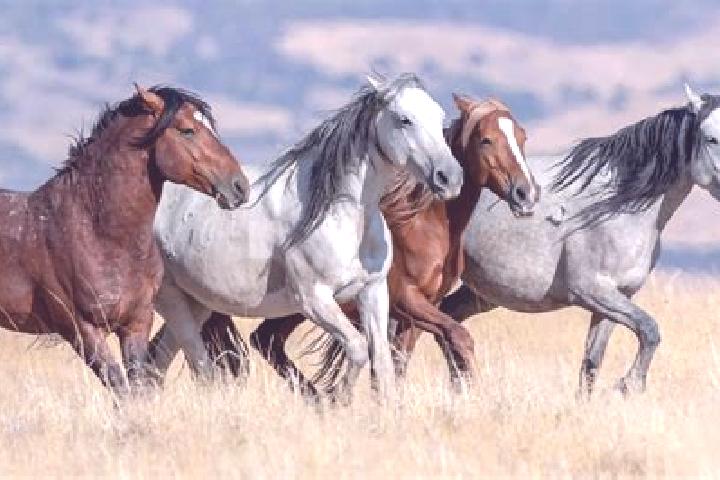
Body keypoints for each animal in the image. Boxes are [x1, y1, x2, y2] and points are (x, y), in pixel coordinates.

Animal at [0, 85, 248, 396]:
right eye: (187, 130)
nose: (240, 186)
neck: (98, 234)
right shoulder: (82, 330)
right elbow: (121, 388)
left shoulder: (136, 323)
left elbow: (137, 386)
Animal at [146, 73, 463, 400]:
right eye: (404, 119)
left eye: (440, 118)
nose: (449, 178)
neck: (342, 216)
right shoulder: (314, 299)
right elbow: (358, 348)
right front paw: (337, 400)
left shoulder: (373, 292)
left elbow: (383, 364)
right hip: (171, 299)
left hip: (198, 303)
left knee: (159, 359)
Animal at [228, 94, 539, 395]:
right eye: (485, 139)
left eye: (522, 137)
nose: (525, 194)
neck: (423, 225)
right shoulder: (407, 299)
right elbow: (457, 337)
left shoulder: (419, 310)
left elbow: (399, 363)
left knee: (266, 340)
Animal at [398, 84, 720, 397]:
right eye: (711, 138)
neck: (616, 207)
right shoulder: (592, 291)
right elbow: (650, 329)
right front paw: (629, 385)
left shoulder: (616, 299)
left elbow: (592, 363)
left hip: (479, 293)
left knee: (446, 323)